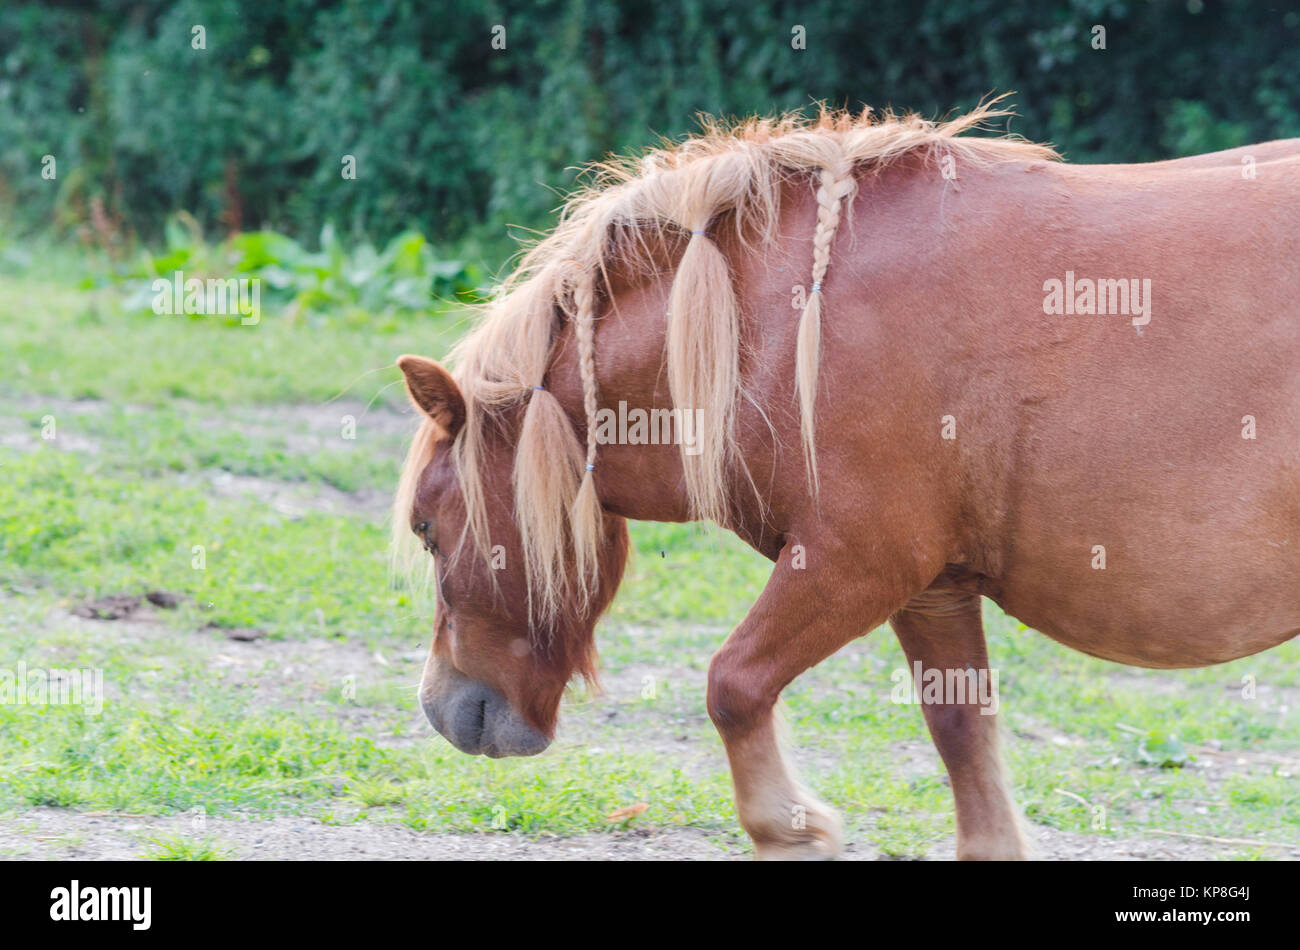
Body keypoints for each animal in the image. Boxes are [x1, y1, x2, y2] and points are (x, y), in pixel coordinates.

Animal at [390, 105, 1300, 862]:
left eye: (428, 528)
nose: (445, 708)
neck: (789, 320)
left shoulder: (854, 562)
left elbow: (734, 685)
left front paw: (791, 827)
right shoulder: (931, 589)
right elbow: (961, 732)